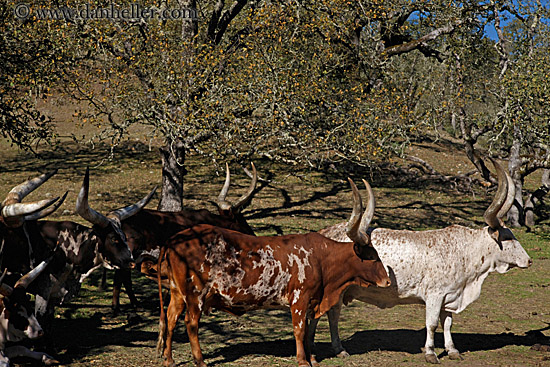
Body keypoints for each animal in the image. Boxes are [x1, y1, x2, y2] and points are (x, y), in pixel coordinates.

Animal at [157, 179, 394, 367]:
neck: (321, 258)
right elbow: (300, 330)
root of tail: (174, 239)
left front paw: (313, 358)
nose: (387, 280)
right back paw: (200, 360)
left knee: (171, 317)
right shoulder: (299, 298)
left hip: (177, 292)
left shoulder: (312, 301)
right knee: (190, 322)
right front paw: (302, 360)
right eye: (371, 255)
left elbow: (309, 331)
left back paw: (169, 359)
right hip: (195, 294)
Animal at [312, 159, 532, 366]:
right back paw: (332, 350)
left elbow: (447, 323)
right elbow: (432, 324)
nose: (529, 260)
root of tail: (325, 232)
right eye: (507, 237)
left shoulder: (450, 296)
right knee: (328, 315)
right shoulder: (434, 295)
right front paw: (430, 353)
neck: (465, 252)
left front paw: (452, 350)